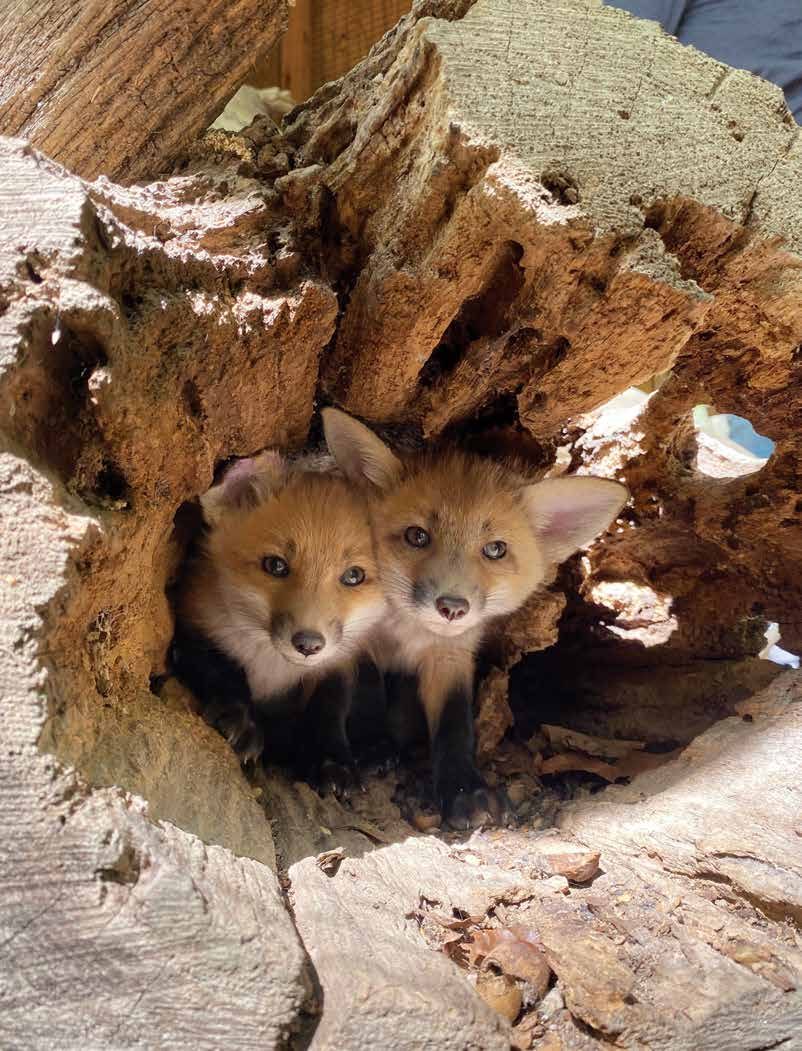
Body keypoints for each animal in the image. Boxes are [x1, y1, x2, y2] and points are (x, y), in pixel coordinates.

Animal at [171, 449, 386, 795]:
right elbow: (224, 672)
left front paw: (333, 761)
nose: (308, 644)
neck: (273, 669)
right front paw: (240, 721)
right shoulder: (194, 627)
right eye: (275, 565)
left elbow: (329, 709)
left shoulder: (339, 664)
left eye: (354, 575)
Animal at [322, 408, 628, 828]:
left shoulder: (451, 656)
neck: (407, 635)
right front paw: (371, 748)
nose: (452, 607)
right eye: (417, 536)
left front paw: (465, 790)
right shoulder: (358, 642)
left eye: (495, 549)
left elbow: (455, 726)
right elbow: (365, 695)